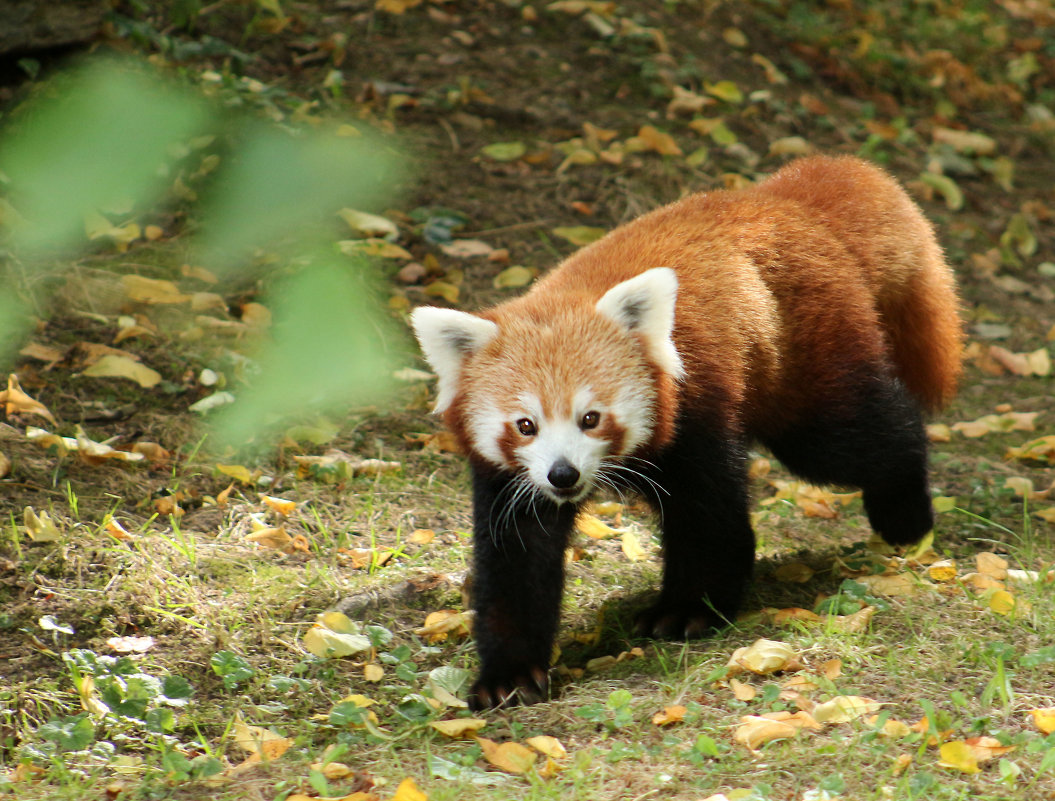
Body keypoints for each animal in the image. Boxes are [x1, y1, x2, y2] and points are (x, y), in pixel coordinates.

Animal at [409, 155, 966, 709]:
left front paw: (688, 610)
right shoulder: (512, 480)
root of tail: (780, 201)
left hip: (805, 360)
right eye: (526, 425)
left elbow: (709, 520)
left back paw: (906, 518)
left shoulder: (696, 414)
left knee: (857, 440)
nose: (563, 476)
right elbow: (517, 562)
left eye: (591, 418)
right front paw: (510, 675)